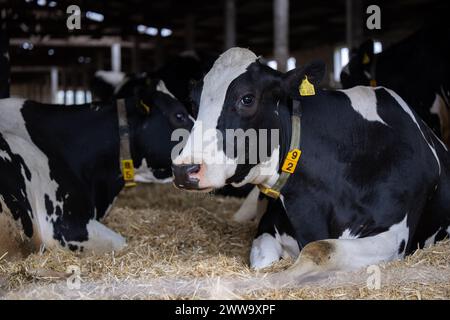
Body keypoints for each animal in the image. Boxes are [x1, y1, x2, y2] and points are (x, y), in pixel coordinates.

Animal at [171, 47, 450, 280]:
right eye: (193, 102)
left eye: (247, 99)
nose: (184, 169)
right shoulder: (267, 227)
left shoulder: (393, 236)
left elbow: (319, 249)